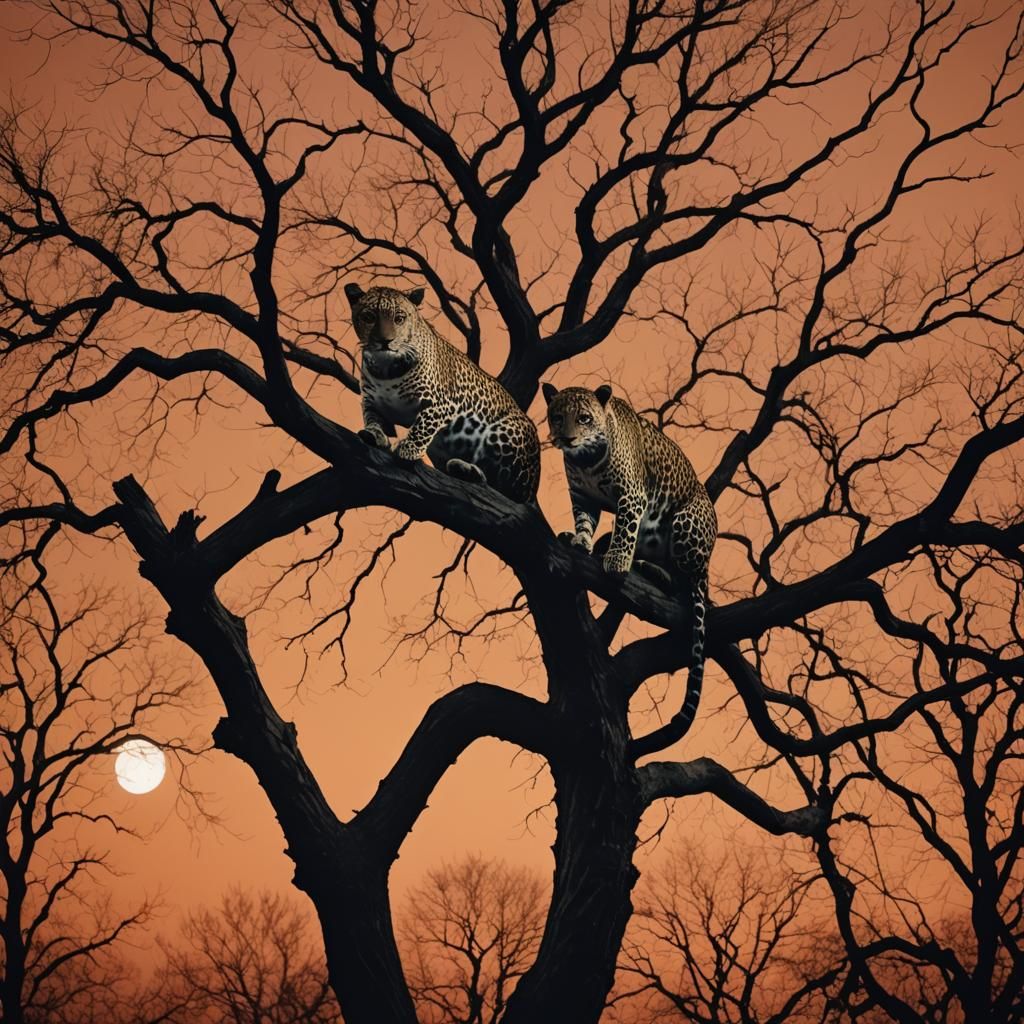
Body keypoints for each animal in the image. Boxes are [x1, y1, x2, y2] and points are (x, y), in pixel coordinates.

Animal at [344, 283, 540, 504]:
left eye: (399, 318)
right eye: (369, 317)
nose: (385, 341)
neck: (386, 369)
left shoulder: (441, 403)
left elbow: (421, 427)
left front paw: (407, 450)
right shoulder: (370, 403)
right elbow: (373, 419)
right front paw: (374, 434)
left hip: (504, 433)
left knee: (510, 491)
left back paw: (469, 470)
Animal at [542, 382, 717, 756]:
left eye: (584, 418)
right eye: (557, 416)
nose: (566, 438)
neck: (586, 461)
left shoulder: (632, 497)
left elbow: (624, 528)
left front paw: (617, 561)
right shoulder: (582, 497)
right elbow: (585, 522)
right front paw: (580, 541)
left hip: (685, 524)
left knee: (688, 585)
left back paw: (652, 570)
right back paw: (645, 567)